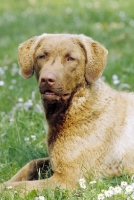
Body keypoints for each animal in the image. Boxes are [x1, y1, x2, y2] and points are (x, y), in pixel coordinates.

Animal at [0, 33, 134, 193]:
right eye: (42, 56)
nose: (47, 79)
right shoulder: (54, 163)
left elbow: (17, 186)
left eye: (70, 58)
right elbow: (30, 165)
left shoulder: (67, 179)